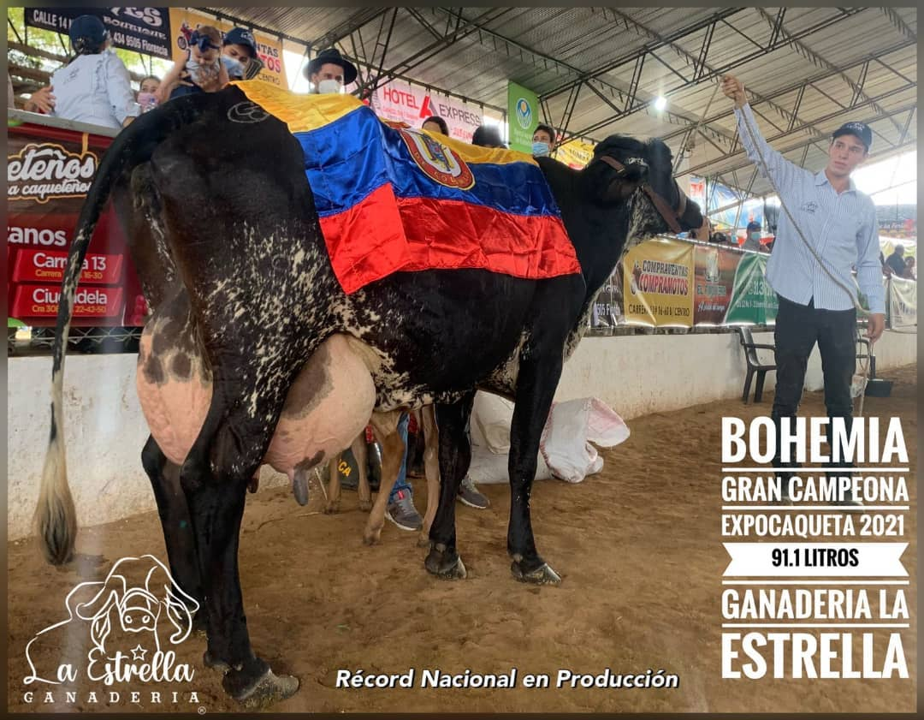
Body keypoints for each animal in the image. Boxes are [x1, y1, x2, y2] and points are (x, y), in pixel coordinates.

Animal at [36, 86, 704, 707]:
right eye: (667, 162)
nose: (698, 211)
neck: (577, 217)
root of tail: (205, 102)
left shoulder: (459, 368)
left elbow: (454, 459)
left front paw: (443, 552)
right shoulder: (544, 354)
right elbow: (518, 462)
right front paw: (527, 557)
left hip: (189, 351)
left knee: (163, 462)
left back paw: (194, 613)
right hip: (261, 344)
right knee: (214, 475)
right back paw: (244, 664)